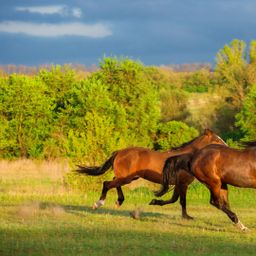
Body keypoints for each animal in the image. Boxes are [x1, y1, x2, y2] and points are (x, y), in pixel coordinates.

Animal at [76, 128, 226, 218]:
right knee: (107, 183)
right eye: (217, 139)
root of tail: (119, 152)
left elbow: (174, 199)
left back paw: (119, 202)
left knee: (113, 182)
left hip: (129, 177)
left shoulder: (178, 184)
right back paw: (98, 204)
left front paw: (155, 202)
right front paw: (187, 217)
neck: (186, 158)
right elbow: (182, 201)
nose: (226, 147)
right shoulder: (183, 183)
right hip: (126, 178)